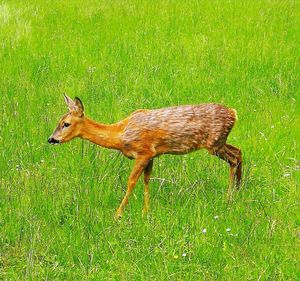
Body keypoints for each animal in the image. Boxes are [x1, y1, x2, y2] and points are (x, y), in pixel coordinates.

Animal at [48, 95, 243, 218]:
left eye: (66, 124)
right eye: (58, 121)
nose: (51, 139)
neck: (120, 134)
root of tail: (234, 113)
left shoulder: (143, 152)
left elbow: (131, 181)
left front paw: (118, 214)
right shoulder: (152, 155)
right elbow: (147, 179)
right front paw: (146, 212)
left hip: (214, 143)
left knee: (234, 157)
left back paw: (229, 197)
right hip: (219, 142)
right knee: (239, 152)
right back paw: (238, 190)